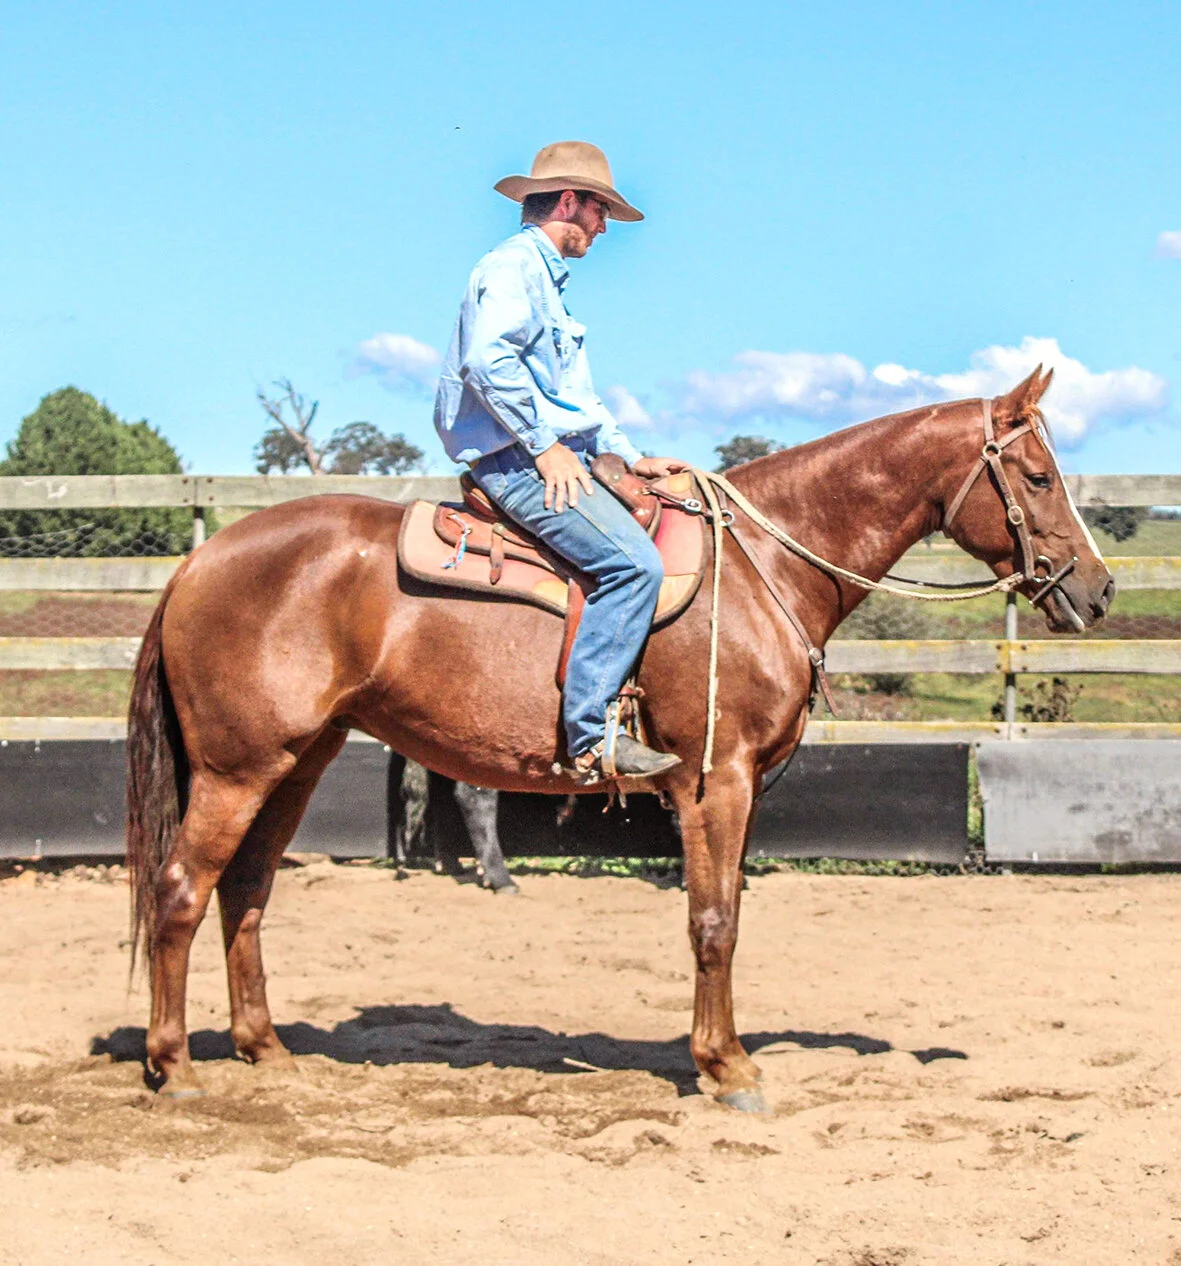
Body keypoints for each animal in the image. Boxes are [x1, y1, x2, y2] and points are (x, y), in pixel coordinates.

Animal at [125, 368, 1113, 1108]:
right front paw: (727, 1068)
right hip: (236, 768)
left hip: (297, 762)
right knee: (180, 889)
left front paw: (719, 1054)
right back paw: (174, 1065)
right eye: (1036, 477)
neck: (763, 565)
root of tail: (198, 563)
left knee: (244, 891)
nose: (1096, 588)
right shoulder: (718, 780)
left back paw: (266, 1050)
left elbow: (726, 912)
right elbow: (713, 921)